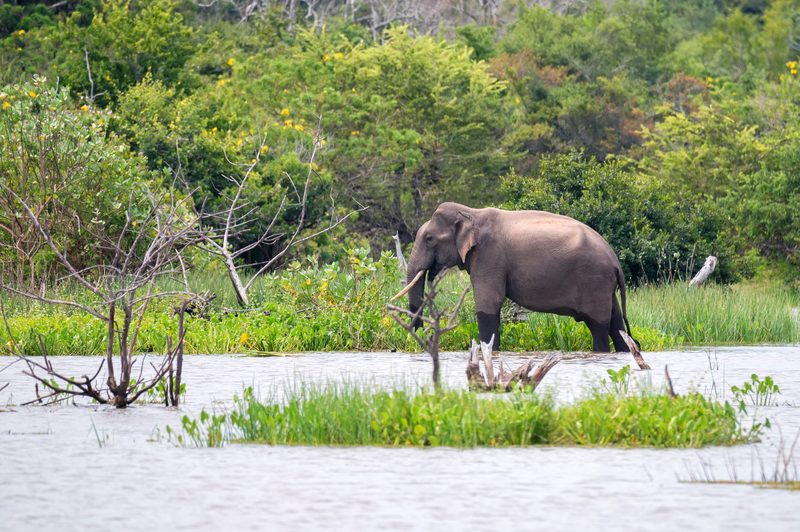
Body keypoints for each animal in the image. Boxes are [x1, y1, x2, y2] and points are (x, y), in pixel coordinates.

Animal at [406, 202, 635, 352]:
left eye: (429, 239)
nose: (424, 335)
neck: (471, 213)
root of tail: (616, 262)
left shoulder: (490, 256)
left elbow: (489, 302)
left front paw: (491, 352)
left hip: (594, 281)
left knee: (599, 326)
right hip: (603, 285)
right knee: (616, 322)